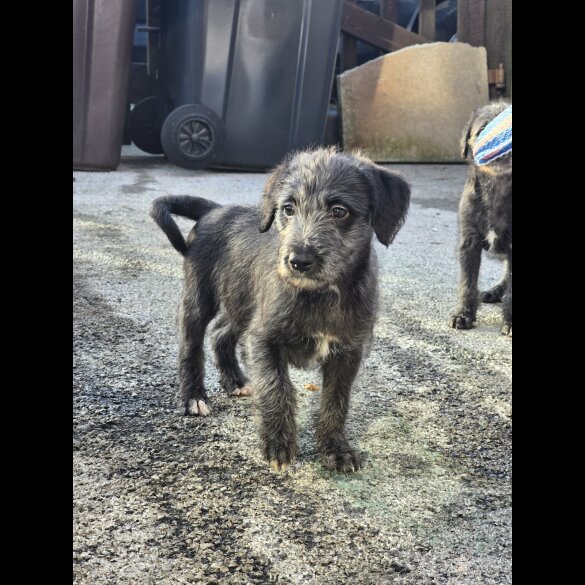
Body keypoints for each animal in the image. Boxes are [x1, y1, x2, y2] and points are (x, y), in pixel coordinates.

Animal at [148, 148, 408, 472]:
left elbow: (336, 400)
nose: (298, 261)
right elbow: (276, 388)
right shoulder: (264, 338)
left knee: (221, 333)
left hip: (243, 302)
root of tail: (214, 210)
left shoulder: (348, 351)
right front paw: (278, 444)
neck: (322, 294)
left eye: (339, 211)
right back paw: (193, 396)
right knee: (190, 343)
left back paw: (235, 381)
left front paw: (336, 448)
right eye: (288, 208)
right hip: (199, 298)